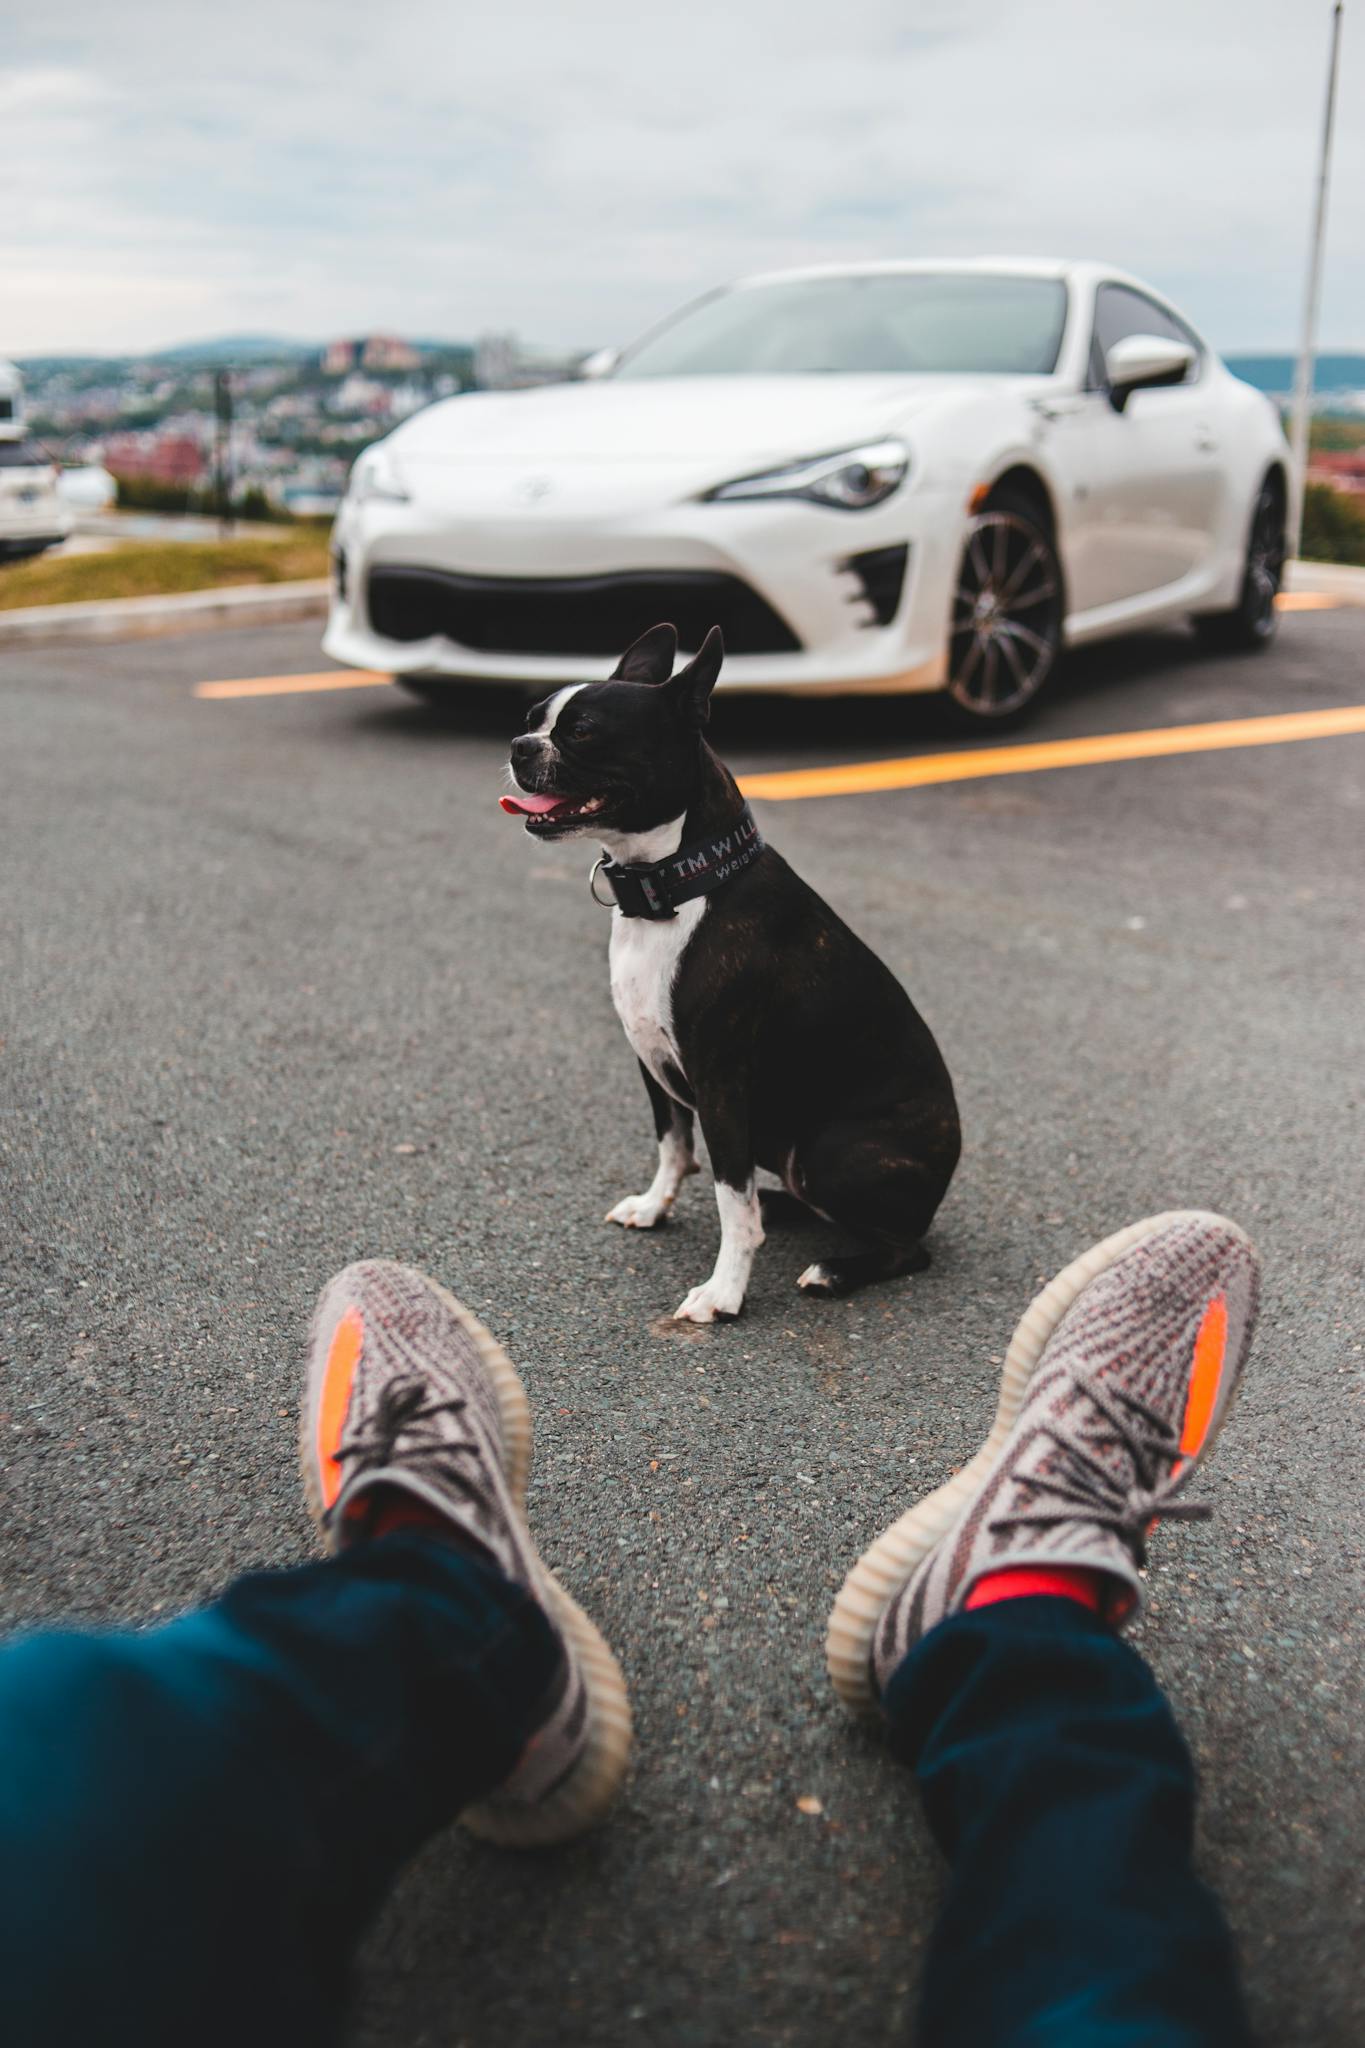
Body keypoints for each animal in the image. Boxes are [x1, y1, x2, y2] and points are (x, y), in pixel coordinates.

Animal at [501, 622, 961, 1327]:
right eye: (532, 721)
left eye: (581, 731)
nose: (520, 746)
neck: (677, 881)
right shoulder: (650, 1059)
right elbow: (674, 1146)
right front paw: (654, 1207)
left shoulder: (720, 1081)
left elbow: (728, 1198)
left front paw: (724, 1292)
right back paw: (782, 1207)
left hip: (830, 1151)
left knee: (908, 1246)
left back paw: (834, 1269)